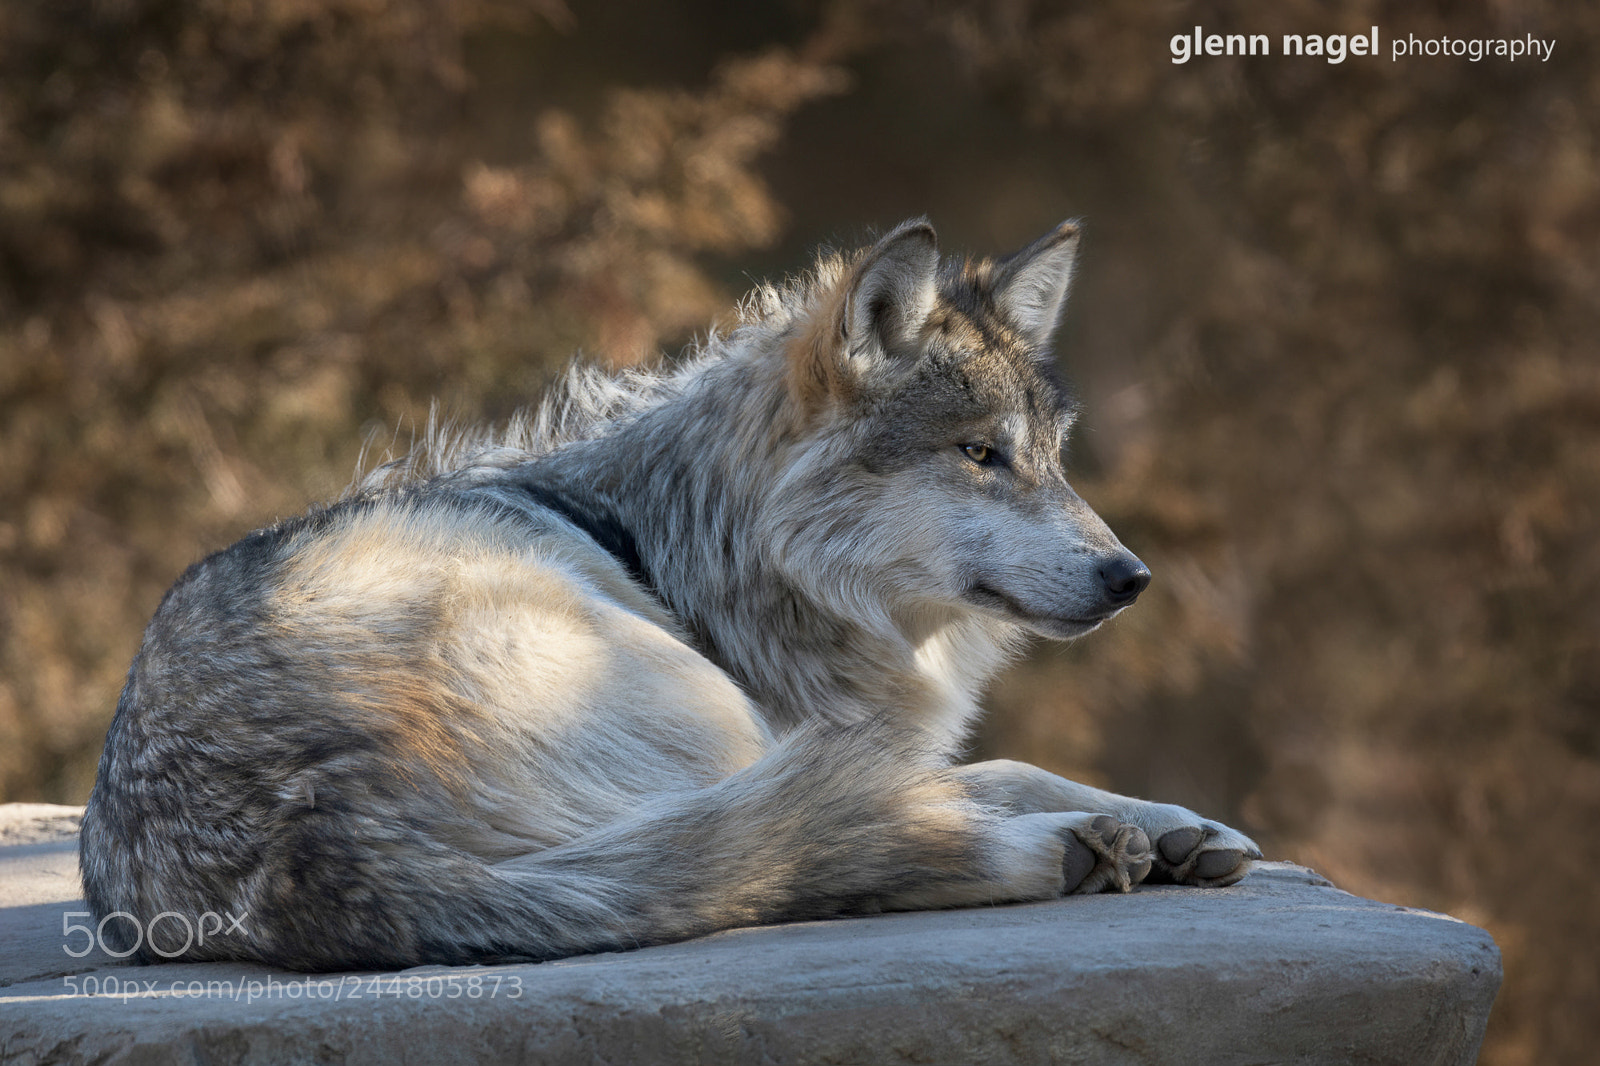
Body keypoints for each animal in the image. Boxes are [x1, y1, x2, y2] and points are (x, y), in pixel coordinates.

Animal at [80, 219, 1261, 971]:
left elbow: (1004, 767)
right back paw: (1055, 850)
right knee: (810, 847)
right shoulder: (802, 724)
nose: (1131, 578)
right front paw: (1123, 825)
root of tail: (310, 840)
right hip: (697, 712)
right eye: (980, 454)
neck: (695, 543)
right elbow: (985, 772)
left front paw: (1181, 826)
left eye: (1054, 458)